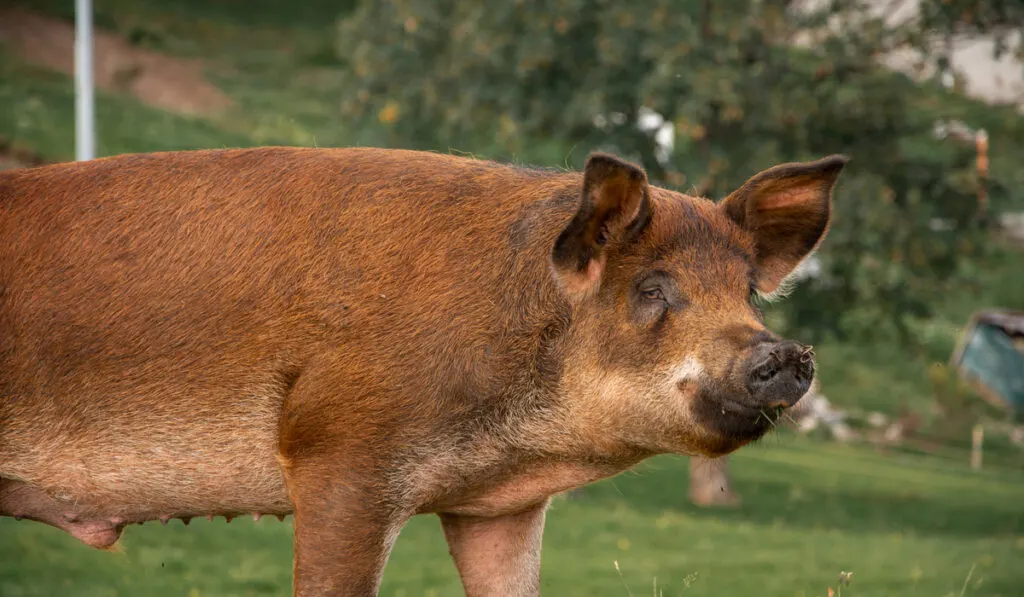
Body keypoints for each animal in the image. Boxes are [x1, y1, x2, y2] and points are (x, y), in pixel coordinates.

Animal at [0, 146, 847, 597]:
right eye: (653, 289)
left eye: (747, 290)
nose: (784, 352)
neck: (521, 441)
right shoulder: (338, 452)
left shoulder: (497, 506)